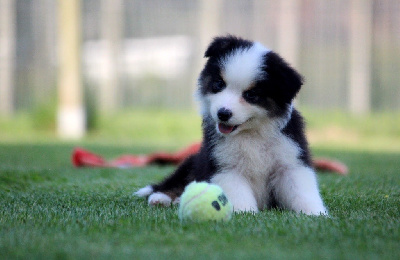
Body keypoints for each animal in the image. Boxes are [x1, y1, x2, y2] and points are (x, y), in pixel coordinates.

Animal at [136, 36, 326, 215]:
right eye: (219, 84)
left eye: (251, 94)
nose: (223, 113)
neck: (251, 133)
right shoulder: (225, 164)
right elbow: (238, 193)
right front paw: (245, 213)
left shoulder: (290, 159)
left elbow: (302, 191)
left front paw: (316, 213)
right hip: (193, 162)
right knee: (175, 182)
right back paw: (160, 198)